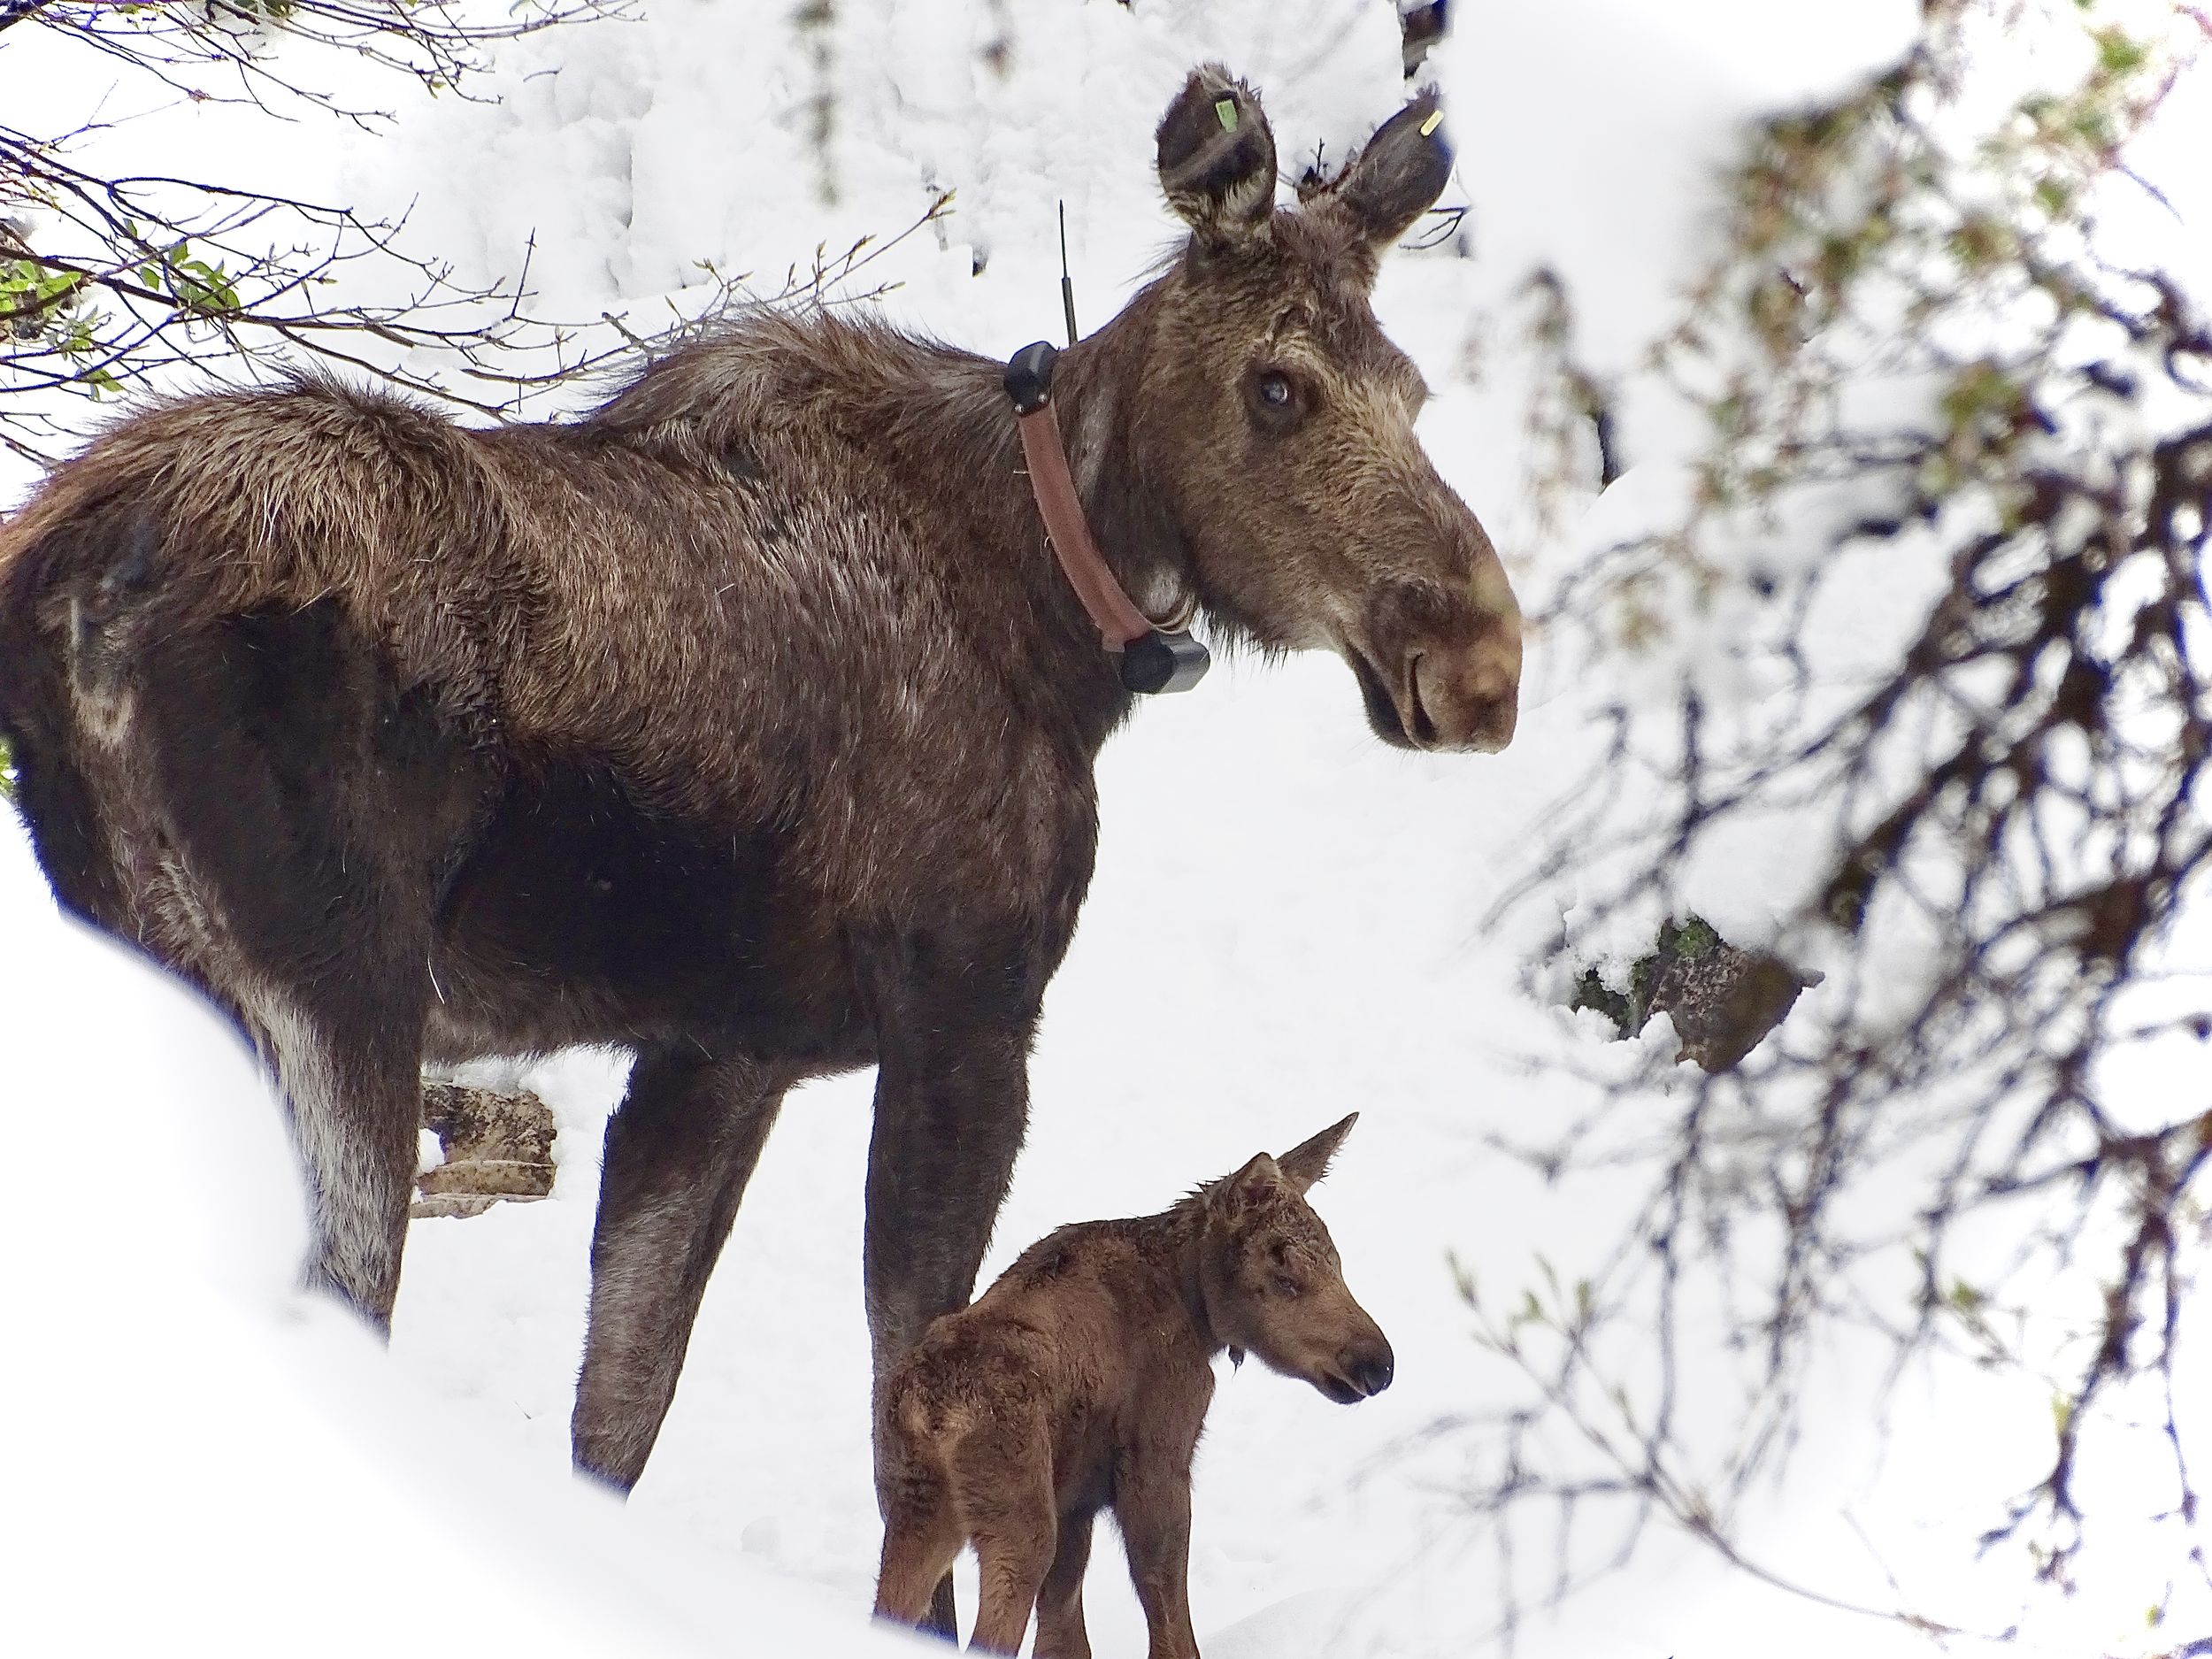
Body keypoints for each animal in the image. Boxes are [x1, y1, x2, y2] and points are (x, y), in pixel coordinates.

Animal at [874, 1113, 1389, 1657]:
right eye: (1285, 1278)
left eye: (1337, 1262)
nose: (1379, 1363)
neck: (1195, 1308)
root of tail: (933, 1414)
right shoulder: (1158, 1457)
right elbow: (1169, 1620)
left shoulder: (1075, 1500)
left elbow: (1064, 1635)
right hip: (1017, 1521)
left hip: (915, 1506)